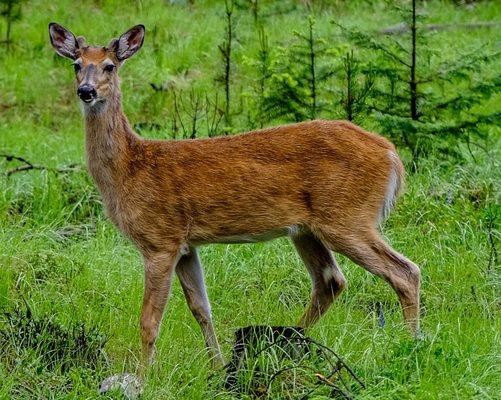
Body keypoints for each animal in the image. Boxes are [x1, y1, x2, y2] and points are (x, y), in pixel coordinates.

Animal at [48, 23, 420, 376]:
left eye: (109, 66)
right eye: (76, 65)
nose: (86, 91)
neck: (130, 168)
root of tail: (391, 154)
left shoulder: (160, 239)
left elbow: (149, 321)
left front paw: (142, 376)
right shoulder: (186, 245)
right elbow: (202, 309)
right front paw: (217, 366)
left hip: (347, 216)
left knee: (404, 271)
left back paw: (409, 346)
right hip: (307, 229)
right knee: (330, 281)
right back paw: (283, 346)